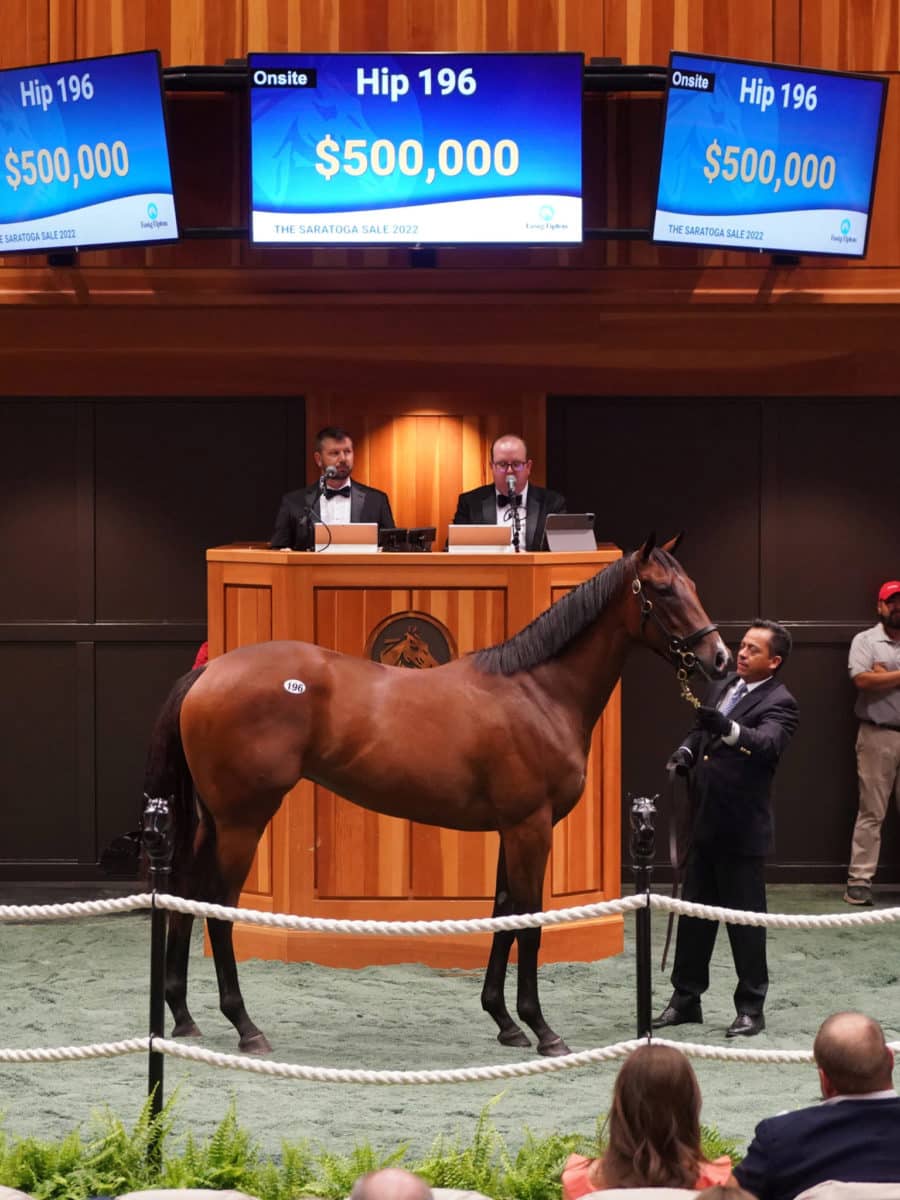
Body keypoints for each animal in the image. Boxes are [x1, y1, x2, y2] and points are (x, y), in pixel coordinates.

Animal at [144, 537, 729, 1060]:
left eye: (693, 587)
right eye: (662, 590)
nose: (719, 657)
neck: (538, 691)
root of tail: (209, 671)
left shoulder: (512, 828)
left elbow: (503, 914)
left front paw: (505, 1021)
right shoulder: (532, 827)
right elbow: (530, 923)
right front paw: (542, 1030)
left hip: (213, 822)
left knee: (186, 897)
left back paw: (184, 1017)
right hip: (243, 822)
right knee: (218, 909)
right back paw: (245, 1026)